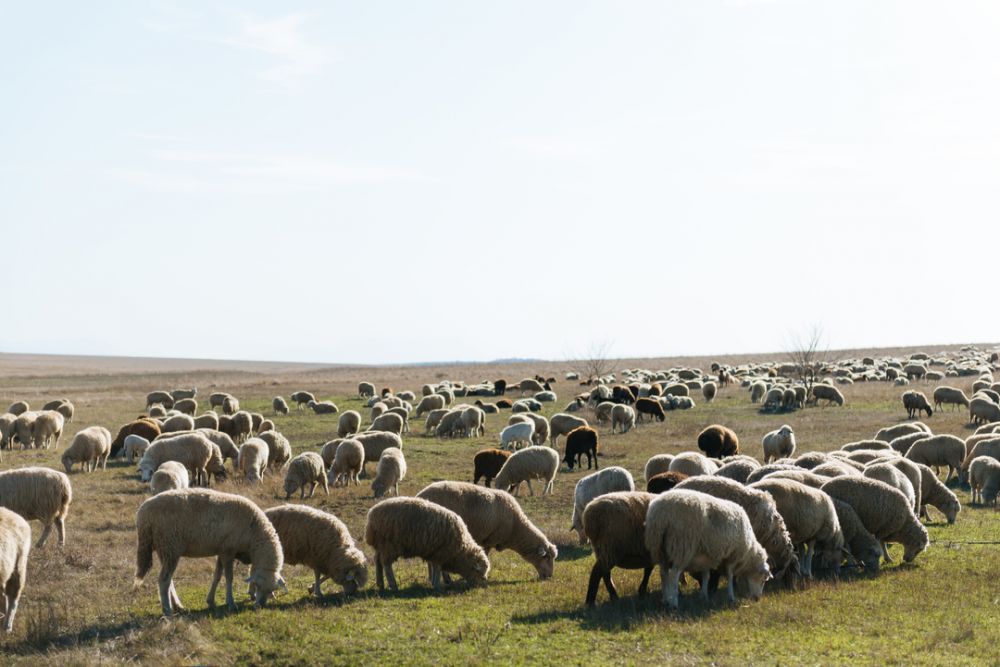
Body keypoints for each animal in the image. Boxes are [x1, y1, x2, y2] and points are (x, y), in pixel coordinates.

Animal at [133, 488, 286, 620]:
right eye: (258, 586)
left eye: (272, 590)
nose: (260, 606)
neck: (254, 535)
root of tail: (143, 515)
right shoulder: (228, 550)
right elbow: (229, 577)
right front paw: (230, 602)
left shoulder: (221, 551)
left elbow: (217, 576)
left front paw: (211, 601)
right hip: (170, 546)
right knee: (163, 580)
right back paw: (167, 611)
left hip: (165, 550)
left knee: (168, 579)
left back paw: (177, 606)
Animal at [412, 480, 556, 580]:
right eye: (547, 558)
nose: (549, 577)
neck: (515, 528)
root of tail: (420, 495)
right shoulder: (489, 540)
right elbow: (485, 555)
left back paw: (432, 578)